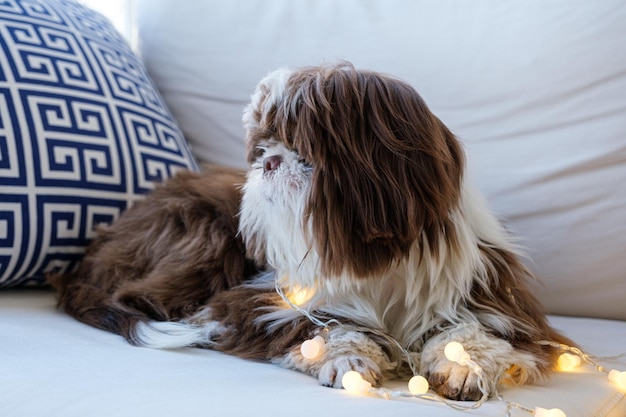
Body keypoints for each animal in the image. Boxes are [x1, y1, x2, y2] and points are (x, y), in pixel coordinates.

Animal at [48, 61, 568, 400]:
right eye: (262, 147)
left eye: (301, 146)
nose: (268, 162)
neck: (378, 264)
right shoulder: (257, 301)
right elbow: (325, 325)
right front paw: (347, 358)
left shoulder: (495, 298)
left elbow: (477, 329)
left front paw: (459, 361)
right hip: (203, 229)